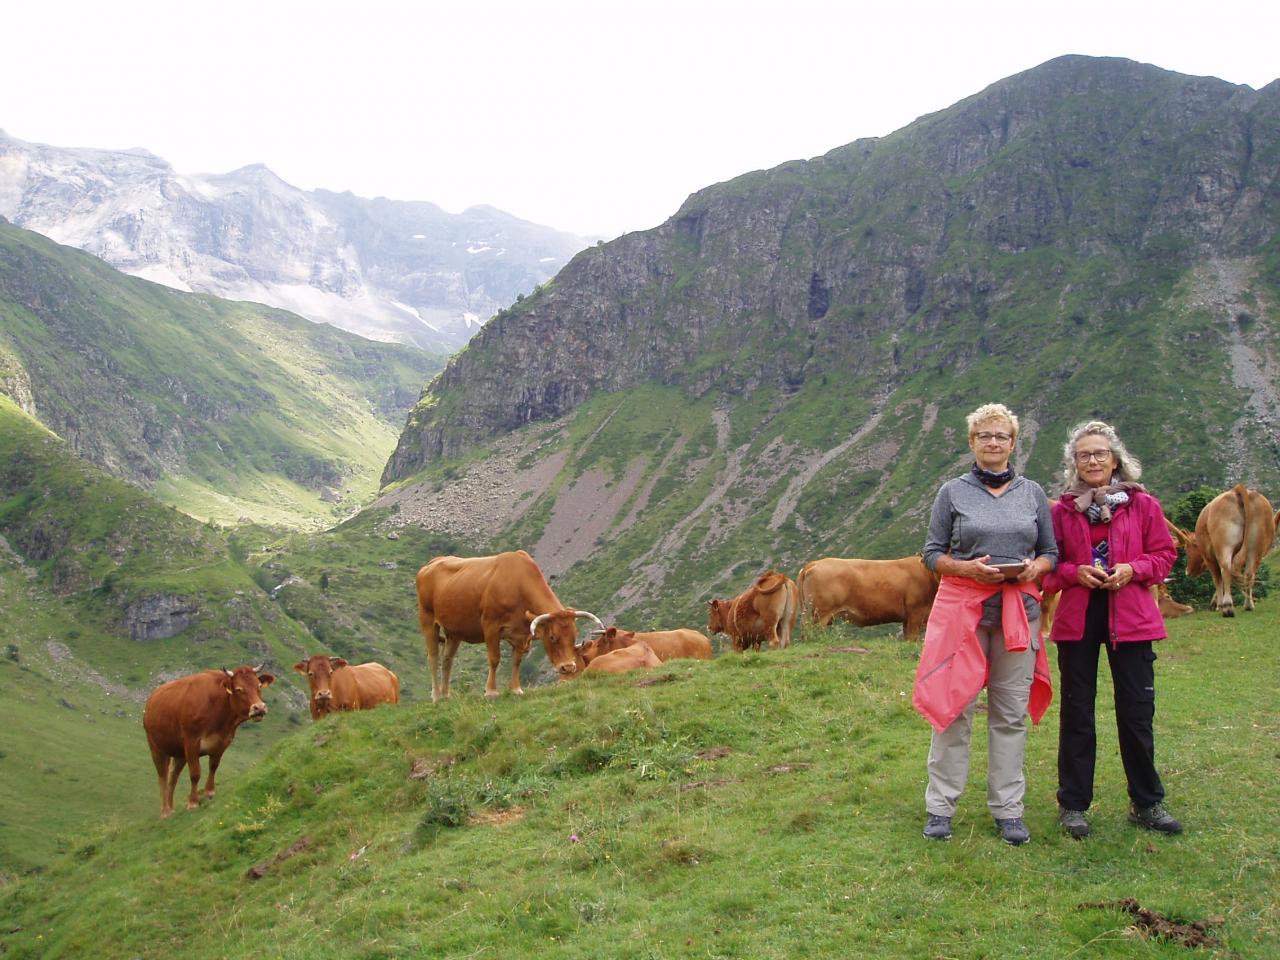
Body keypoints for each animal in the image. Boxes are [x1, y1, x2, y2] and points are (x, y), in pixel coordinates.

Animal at [142, 670, 275, 819]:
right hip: (156, 748)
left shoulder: (222, 742)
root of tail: (151, 700)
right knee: (162, 778)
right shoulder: (191, 743)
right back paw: (165, 812)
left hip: (179, 753)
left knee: (172, 778)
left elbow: (213, 766)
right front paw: (193, 802)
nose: (259, 708)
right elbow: (195, 774)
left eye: (259, 686)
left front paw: (209, 791)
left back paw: (170, 809)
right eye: (239, 689)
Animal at [414, 552, 604, 701]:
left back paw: (446, 695)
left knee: (447, 660)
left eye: (574, 635)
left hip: (454, 631)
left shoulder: (522, 635)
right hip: (427, 620)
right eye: (552, 637)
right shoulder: (490, 626)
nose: (568, 667)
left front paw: (516, 689)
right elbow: (494, 658)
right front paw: (491, 691)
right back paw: (436, 696)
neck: (517, 585)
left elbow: (517, 661)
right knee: (433, 658)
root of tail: (432, 563)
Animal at [1172, 488, 1280, 616]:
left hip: (1225, 546)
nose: (1187, 571)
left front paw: (1218, 605)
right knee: (1249, 574)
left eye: (1186, 548)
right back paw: (1248, 605)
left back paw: (1227, 606)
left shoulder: (1209, 558)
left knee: (1226, 570)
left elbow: (1217, 579)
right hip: (1256, 547)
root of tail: (1237, 491)